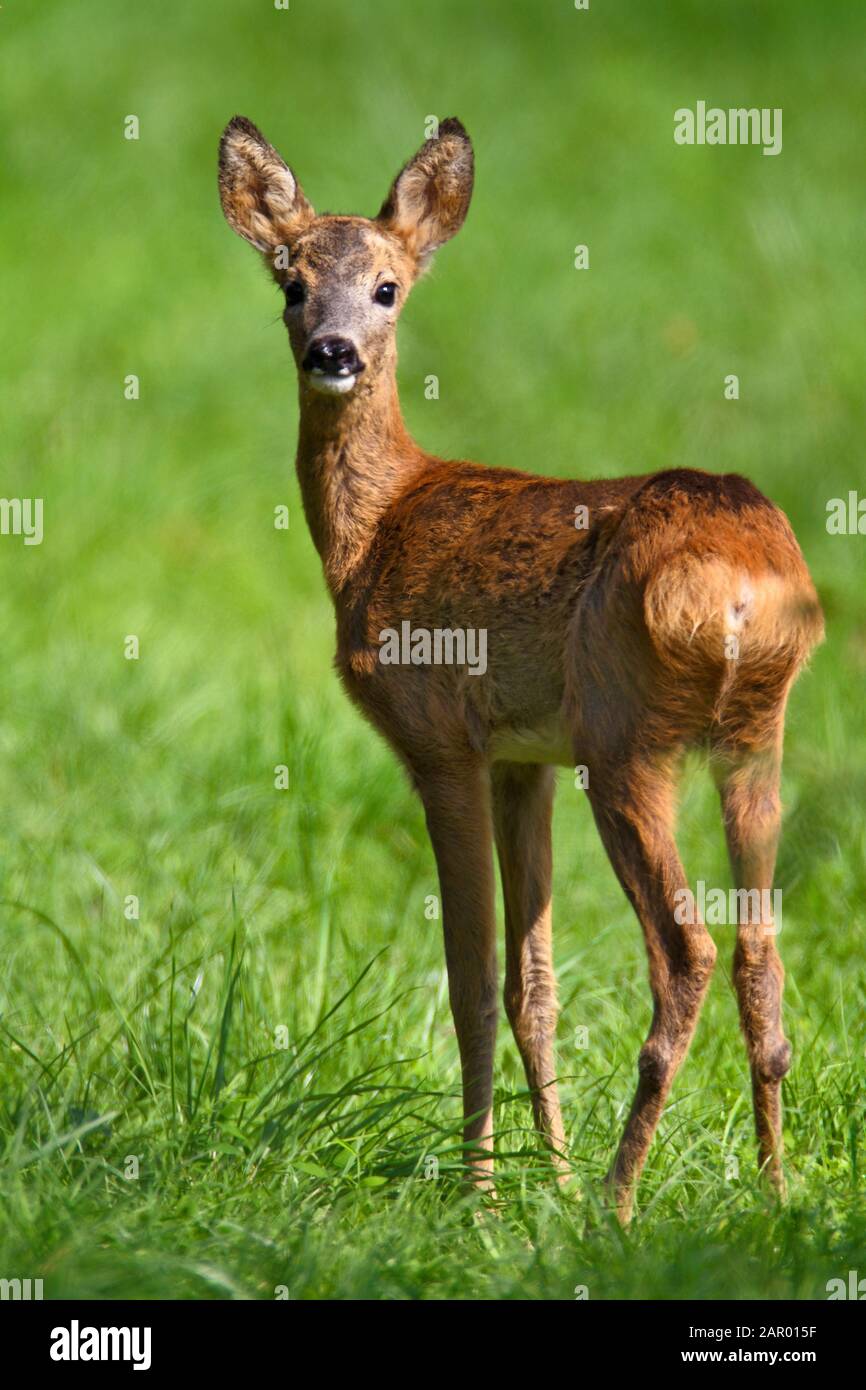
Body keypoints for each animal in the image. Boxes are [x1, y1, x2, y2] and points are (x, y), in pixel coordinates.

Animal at [218, 114, 824, 1222]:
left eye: (388, 288)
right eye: (290, 282)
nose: (332, 351)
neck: (377, 528)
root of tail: (739, 581)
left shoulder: (440, 740)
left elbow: (468, 975)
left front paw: (487, 1199)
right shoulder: (520, 758)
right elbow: (531, 985)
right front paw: (544, 1172)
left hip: (626, 738)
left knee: (687, 951)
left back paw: (616, 1200)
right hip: (755, 737)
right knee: (759, 951)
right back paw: (771, 1191)